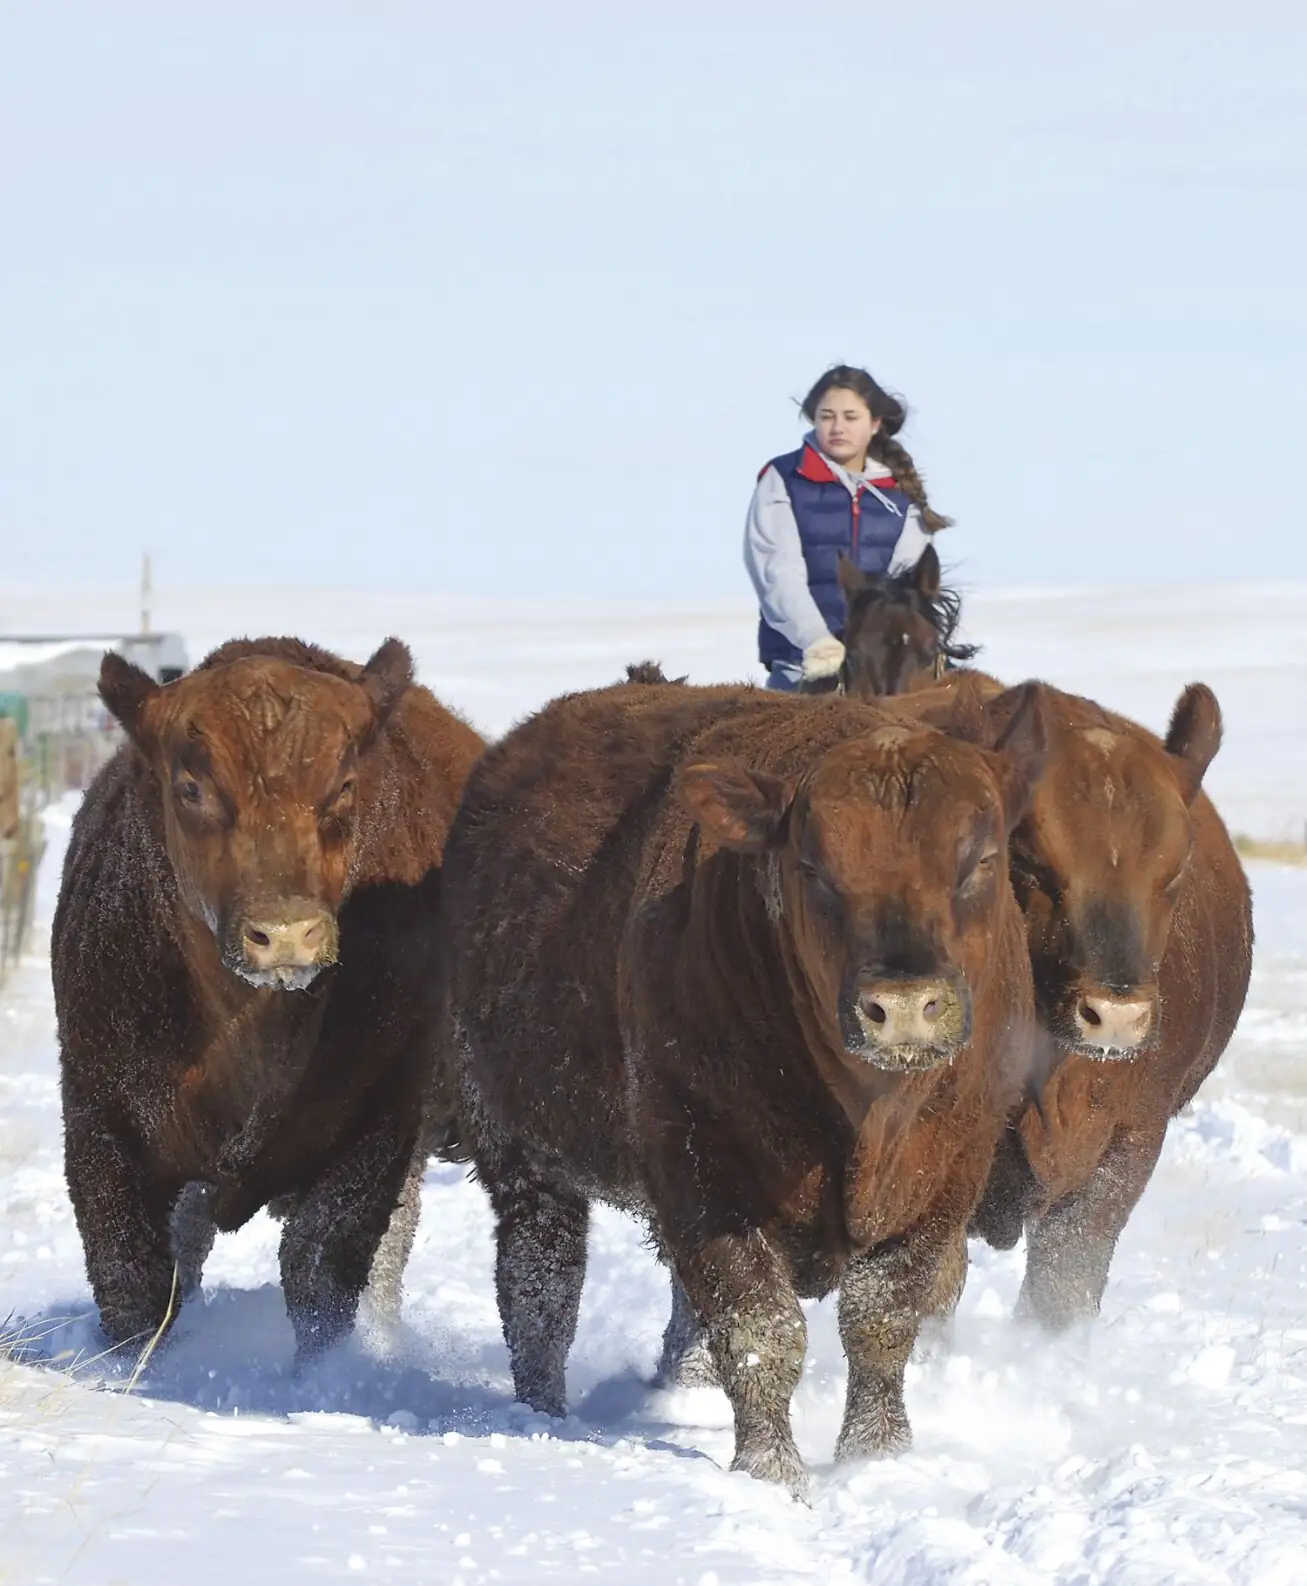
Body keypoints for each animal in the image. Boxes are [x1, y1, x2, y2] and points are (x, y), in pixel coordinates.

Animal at [53, 636, 485, 1359]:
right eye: (191, 787)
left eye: (344, 785)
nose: (285, 932)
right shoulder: (101, 1122)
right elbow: (135, 1283)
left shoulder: (374, 1126)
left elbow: (319, 1269)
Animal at [437, 677, 1049, 1491]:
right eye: (813, 869)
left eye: (979, 860)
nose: (903, 1005)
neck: (867, 1117)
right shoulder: (702, 1167)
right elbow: (760, 1329)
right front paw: (772, 1474)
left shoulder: (950, 1173)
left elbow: (883, 1321)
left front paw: (876, 1457)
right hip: (520, 1156)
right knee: (540, 1287)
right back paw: (541, 1416)